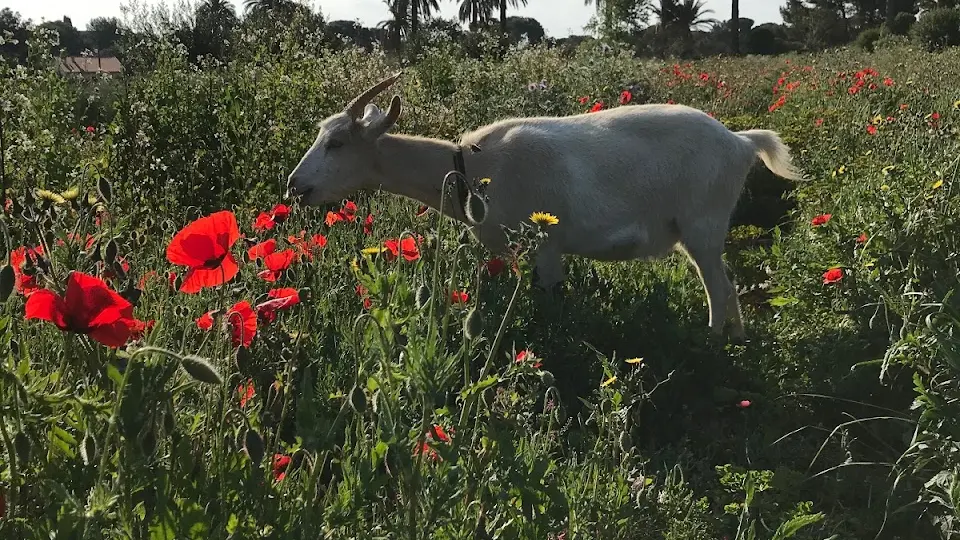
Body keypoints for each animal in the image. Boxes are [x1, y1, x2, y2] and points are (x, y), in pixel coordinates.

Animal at [284, 74, 804, 340]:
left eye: (337, 142)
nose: (295, 186)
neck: (473, 168)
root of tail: (741, 142)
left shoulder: (547, 246)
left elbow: (552, 303)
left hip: (702, 223)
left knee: (719, 287)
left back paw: (712, 346)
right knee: (728, 285)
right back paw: (735, 340)